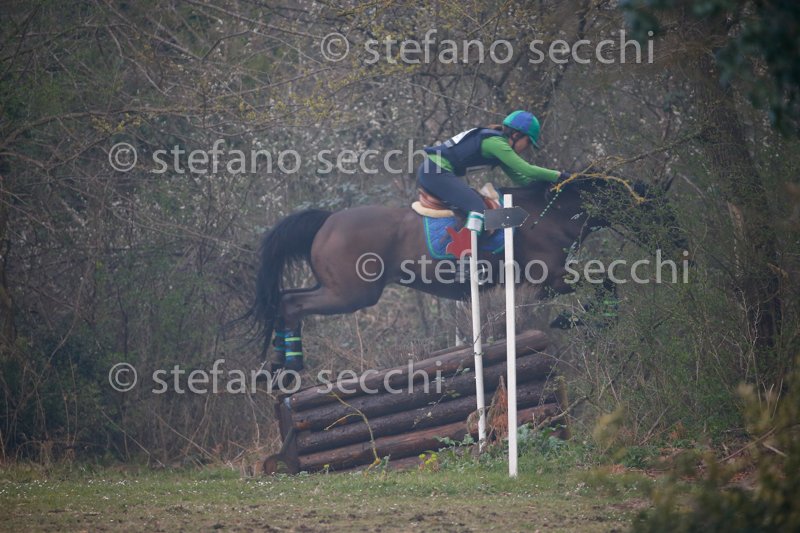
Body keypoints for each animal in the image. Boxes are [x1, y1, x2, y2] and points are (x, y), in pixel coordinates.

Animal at [249, 174, 686, 373]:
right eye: (659, 211)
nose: (682, 251)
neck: (551, 213)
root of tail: (327, 220)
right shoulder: (550, 277)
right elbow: (607, 282)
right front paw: (578, 321)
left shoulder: (546, 281)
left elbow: (606, 282)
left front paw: (585, 320)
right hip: (351, 293)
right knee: (292, 303)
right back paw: (289, 368)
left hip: (340, 288)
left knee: (287, 301)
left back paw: (282, 365)